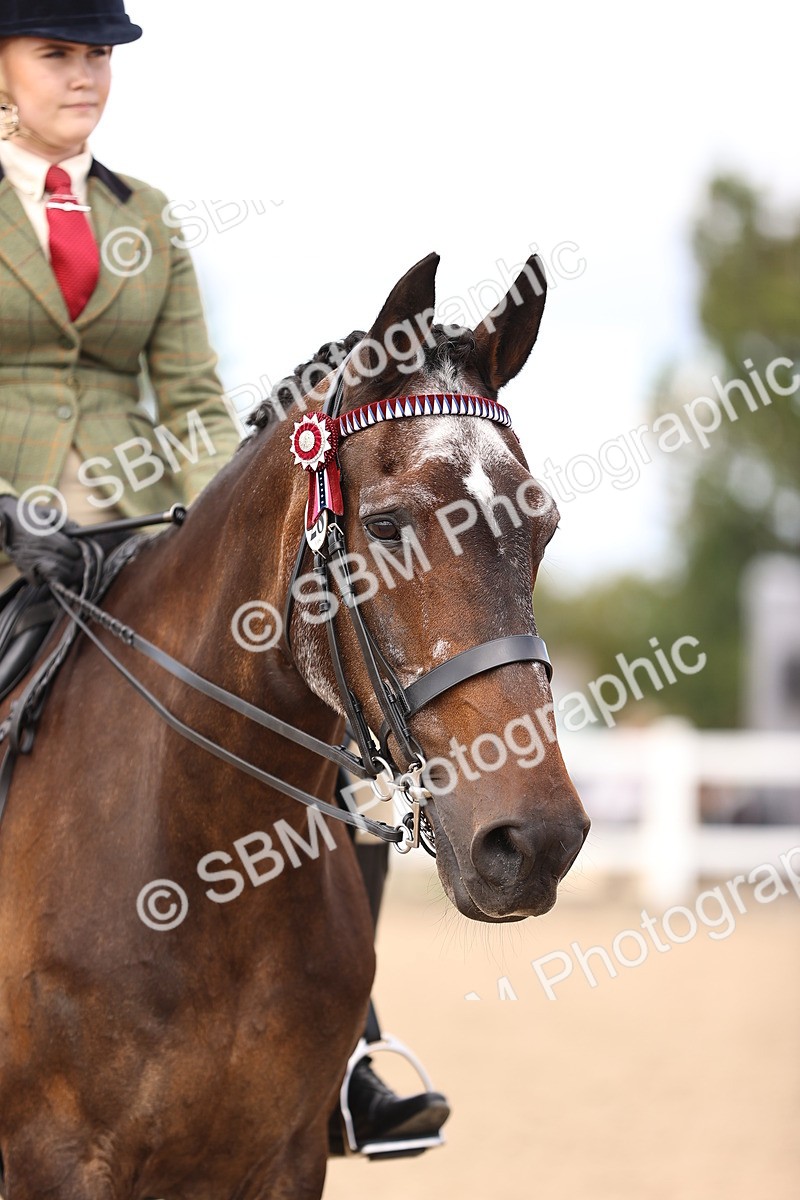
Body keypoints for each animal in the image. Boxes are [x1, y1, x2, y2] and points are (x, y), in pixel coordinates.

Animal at [0, 251, 589, 1199]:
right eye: (384, 524)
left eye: (542, 530)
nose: (535, 841)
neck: (204, 873)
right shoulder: (56, 1161)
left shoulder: (284, 1160)